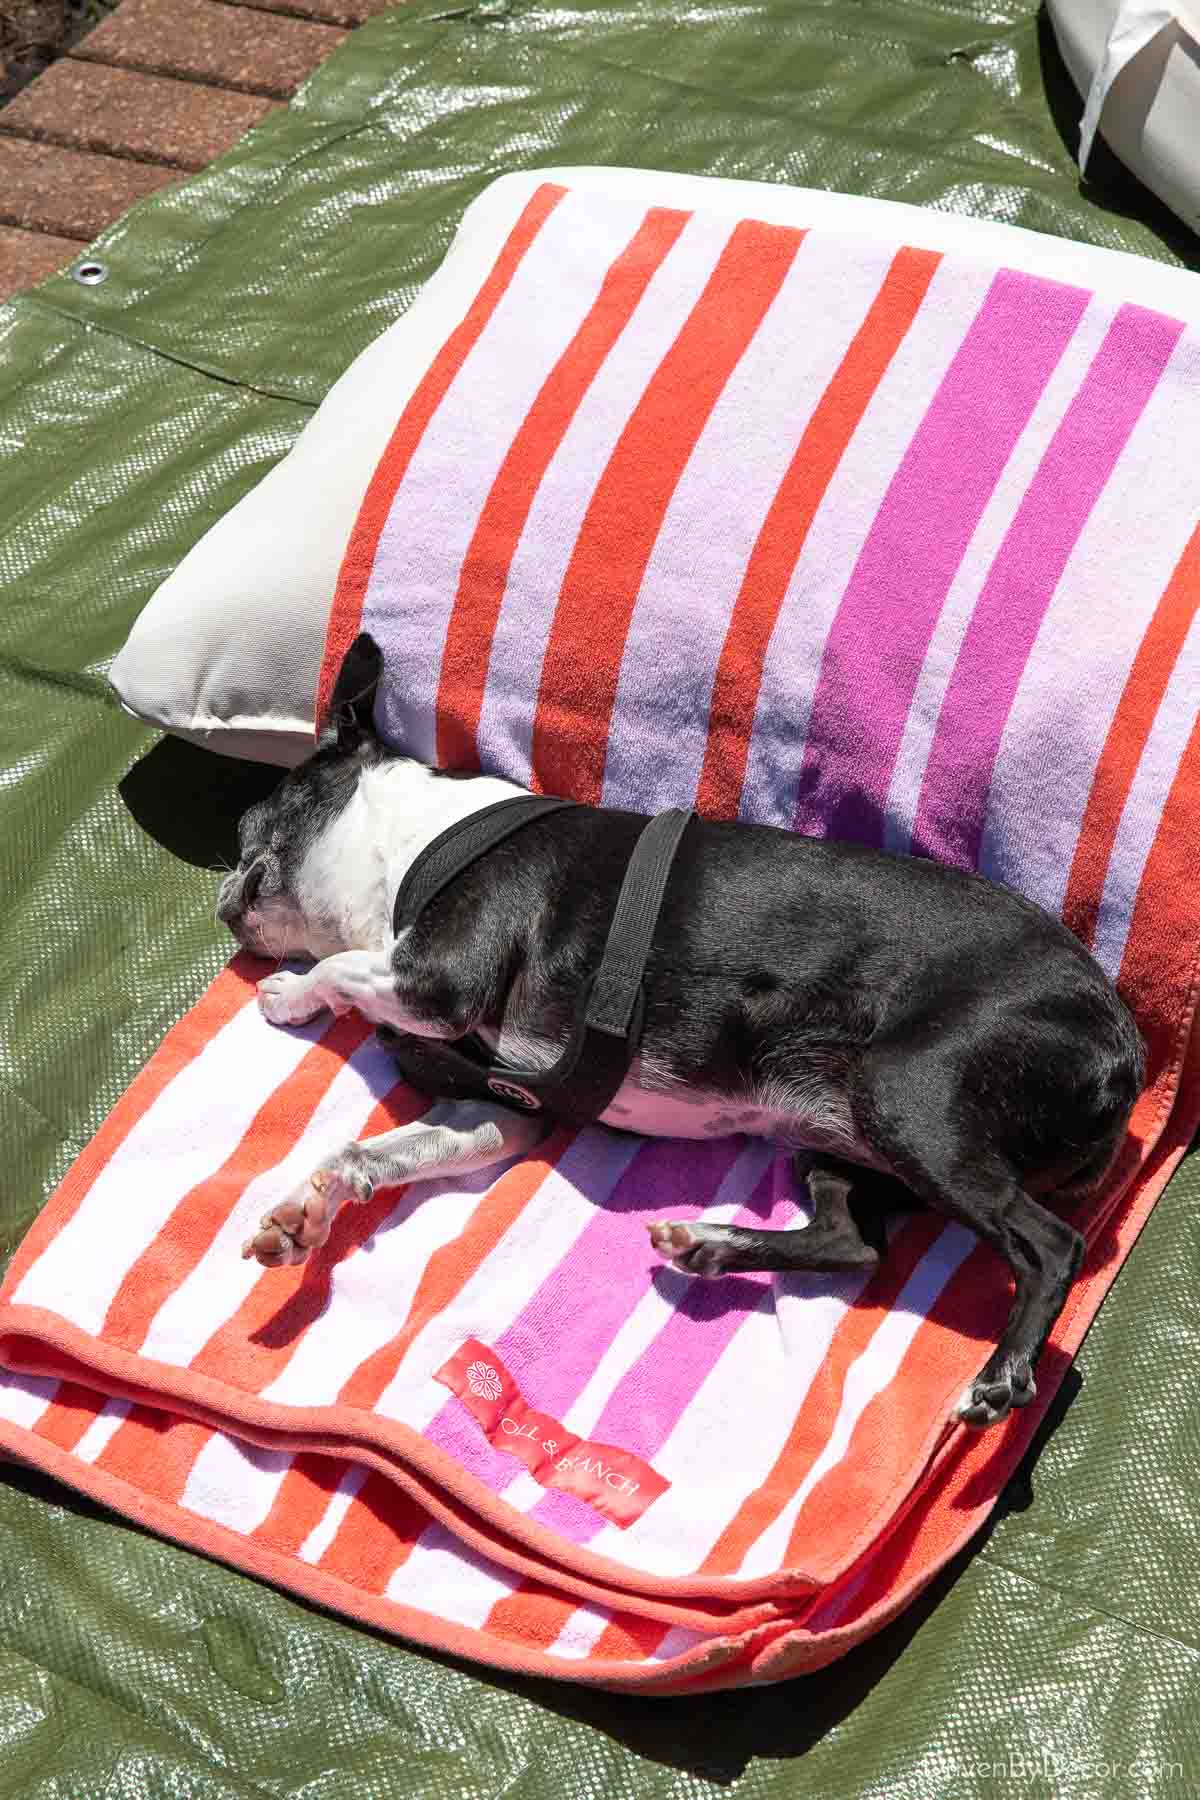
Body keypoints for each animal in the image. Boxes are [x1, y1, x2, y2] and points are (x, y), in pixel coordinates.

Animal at [220, 633, 1151, 1432]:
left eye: (245, 830)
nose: (223, 896)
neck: (412, 838)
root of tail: (1125, 1051)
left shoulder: (439, 983)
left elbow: (345, 971)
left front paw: (295, 994)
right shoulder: (507, 1111)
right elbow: (373, 1153)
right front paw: (308, 1213)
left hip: (908, 1093)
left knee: (1048, 1245)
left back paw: (1001, 1376)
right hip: (841, 1133)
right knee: (852, 1240)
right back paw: (707, 1244)